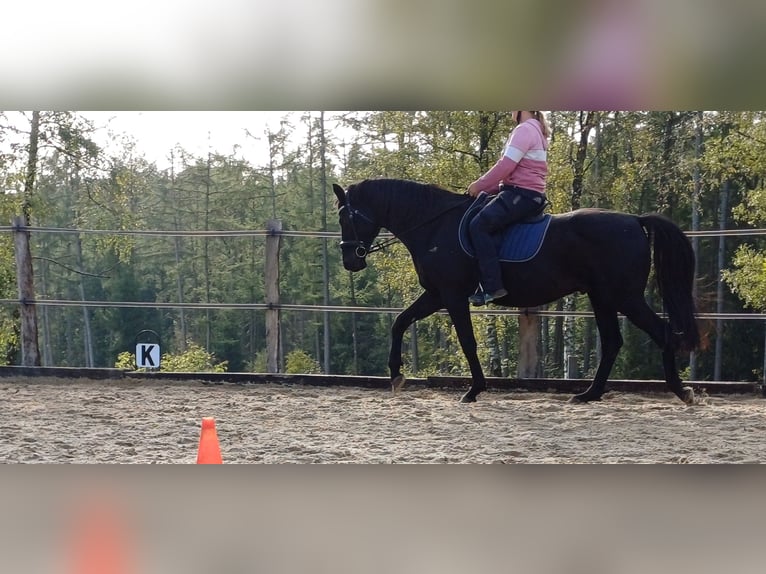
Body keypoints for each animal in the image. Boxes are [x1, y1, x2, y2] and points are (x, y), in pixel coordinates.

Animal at [333, 178, 700, 405]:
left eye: (346, 217)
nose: (350, 260)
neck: (435, 226)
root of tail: (635, 220)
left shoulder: (451, 296)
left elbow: (467, 341)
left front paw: (474, 390)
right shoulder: (436, 295)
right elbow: (400, 322)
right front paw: (396, 374)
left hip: (625, 297)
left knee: (662, 332)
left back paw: (680, 391)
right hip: (603, 297)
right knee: (612, 342)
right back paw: (588, 395)